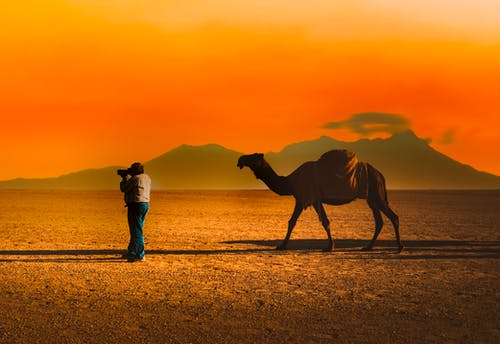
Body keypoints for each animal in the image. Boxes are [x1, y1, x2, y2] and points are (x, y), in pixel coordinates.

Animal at [236, 150, 404, 253]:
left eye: (253, 156)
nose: (240, 159)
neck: (290, 182)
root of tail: (380, 175)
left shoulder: (303, 198)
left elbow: (293, 221)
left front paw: (282, 245)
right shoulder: (315, 200)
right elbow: (324, 221)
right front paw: (330, 246)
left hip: (376, 193)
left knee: (393, 217)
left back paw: (399, 247)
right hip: (371, 197)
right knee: (379, 220)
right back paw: (368, 246)